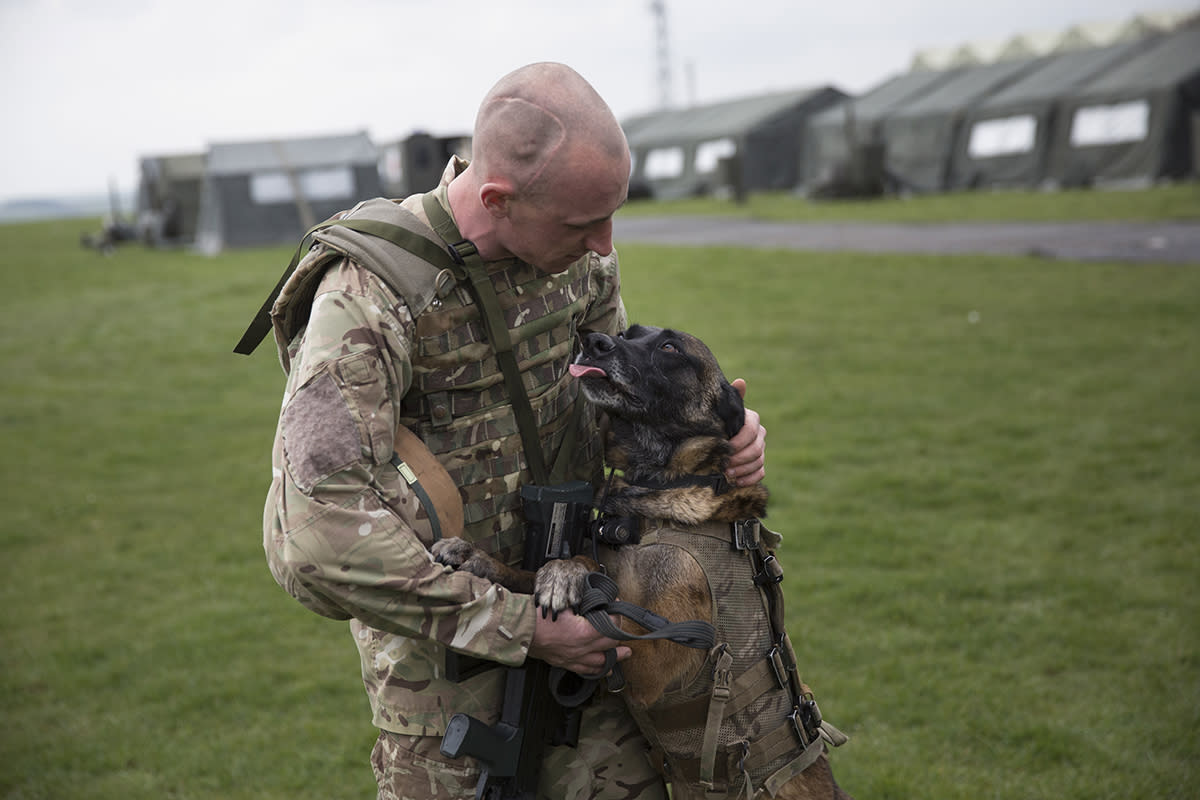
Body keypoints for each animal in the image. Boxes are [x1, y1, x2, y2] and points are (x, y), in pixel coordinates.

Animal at [432, 326, 854, 800]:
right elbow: (538, 575)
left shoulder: (650, 667)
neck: (660, 491)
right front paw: (477, 557)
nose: (593, 341)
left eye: (669, 347)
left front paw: (568, 572)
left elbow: (600, 594)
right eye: (626, 334)